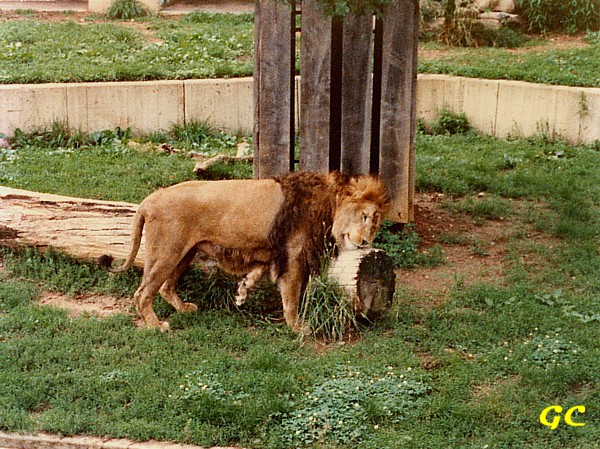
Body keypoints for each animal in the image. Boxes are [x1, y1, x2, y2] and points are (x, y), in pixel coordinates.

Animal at [99, 171, 388, 331]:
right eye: (364, 216)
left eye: (375, 223)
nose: (365, 242)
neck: (329, 205)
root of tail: (149, 200)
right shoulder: (293, 254)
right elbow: (292, 295)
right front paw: (297, 327)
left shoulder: (273, 251)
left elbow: (260, 272)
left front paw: (243, 290)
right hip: (167, 252)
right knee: (142, 293)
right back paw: (155, 326)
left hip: (184, 252)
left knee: (164, 288)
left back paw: (184, 309)